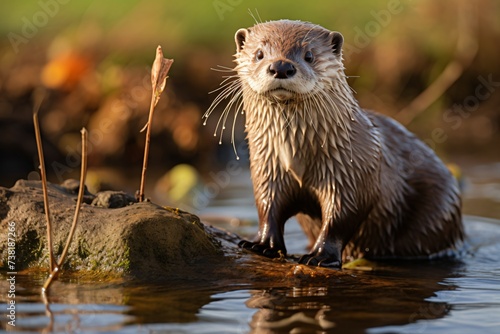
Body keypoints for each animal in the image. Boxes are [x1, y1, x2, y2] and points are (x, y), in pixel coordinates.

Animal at [204, 18, 464, 268]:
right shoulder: (267, 166)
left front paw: (321, 256)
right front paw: (262, 244)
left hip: (439, 212)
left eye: (309, 55)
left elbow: (340, 218)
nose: (281, 66)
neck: (297, 156)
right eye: (259, 53)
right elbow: (268, 208)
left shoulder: (351, 173)